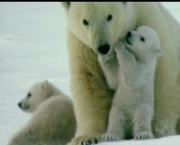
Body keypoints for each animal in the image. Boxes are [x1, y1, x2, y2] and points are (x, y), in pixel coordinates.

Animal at [61, 2, 180, 145]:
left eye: (109, 16)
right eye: (85, 21)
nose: (103, 47)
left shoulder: (151, 26)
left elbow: (161, 84)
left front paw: (157, 132)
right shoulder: (83, 47)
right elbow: (89, 82)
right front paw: (87, 138)